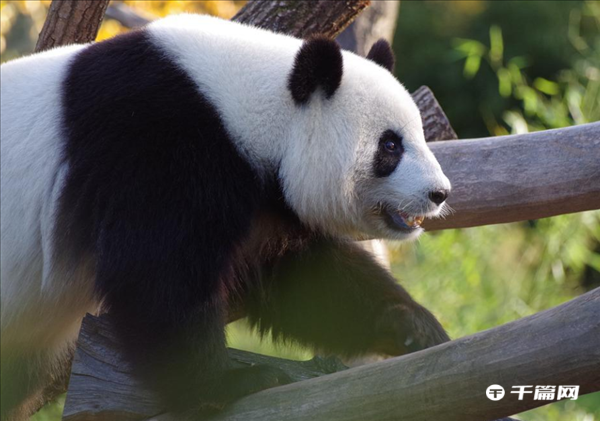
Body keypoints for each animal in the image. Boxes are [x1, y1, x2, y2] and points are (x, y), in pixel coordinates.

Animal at [0, 13, 450, 420]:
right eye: (390, 145)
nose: (439, 193)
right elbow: (157, 275)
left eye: (418, 135)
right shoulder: (156, 145)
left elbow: (301, 278)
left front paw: (413, 325)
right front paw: (229, 383)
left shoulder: (262, 202)